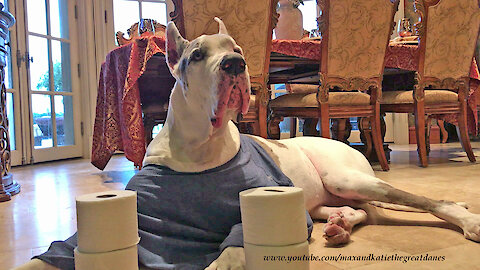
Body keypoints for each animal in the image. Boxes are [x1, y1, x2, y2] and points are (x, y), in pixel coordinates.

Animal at [15, 17, 480, 268]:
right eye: (197, 55)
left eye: (236, 47)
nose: (236, 64)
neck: (200, 146)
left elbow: (232, 251)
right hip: (323, 196)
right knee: (361, 211)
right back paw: (339, 224)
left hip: (349, 177)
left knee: (424, 200)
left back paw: (466, 219)